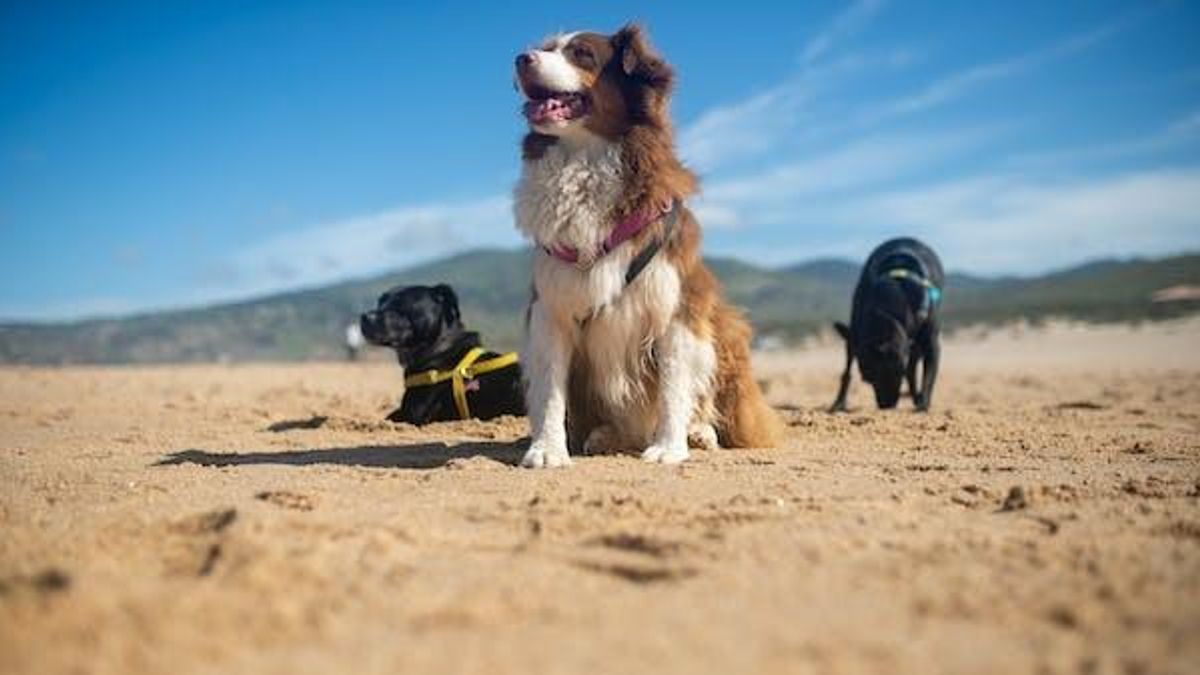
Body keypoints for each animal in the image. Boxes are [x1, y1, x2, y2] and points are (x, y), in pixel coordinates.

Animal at [355, 282, 525, 420]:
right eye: (380, 302)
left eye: (400, 304)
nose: (364, 317)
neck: (438, 348)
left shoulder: (413, 413)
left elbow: (388, 417)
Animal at [513, 19, 777, 461]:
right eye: (547, 48)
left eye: (582, 54)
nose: (520, 58)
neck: (584, 158)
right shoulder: (549, 309)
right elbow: (550, 390)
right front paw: (547, 450)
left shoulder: (676, 306)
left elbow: (673, 385)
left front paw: (669, 448)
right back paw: (604, 436)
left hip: (723, 328)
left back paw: (699, 433)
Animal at [830, 239, 940, 413]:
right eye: (868, 379)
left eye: (894, 374)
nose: (884, 406)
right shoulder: (853, 337)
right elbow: (846, 373)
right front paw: (839, 403)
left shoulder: (931, 345)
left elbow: (928, 375)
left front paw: (923, 404)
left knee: (913, 371)